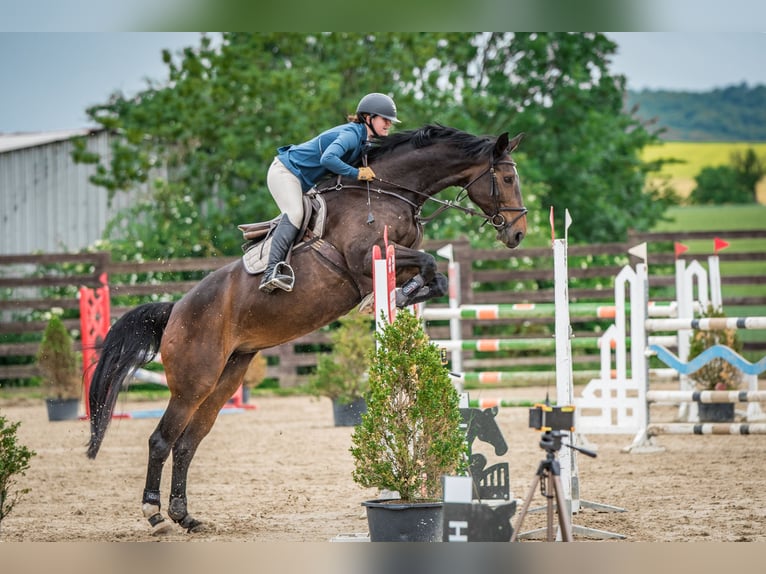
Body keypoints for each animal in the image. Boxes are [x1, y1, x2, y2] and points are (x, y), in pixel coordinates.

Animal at [86, 124, 528, 534]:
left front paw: (404, 296)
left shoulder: (395, 258)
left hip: (227, 376)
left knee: (188, 442)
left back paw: (186, 516)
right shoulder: (367, 257)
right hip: (193, 381)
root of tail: (176, 309)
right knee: (162, 439)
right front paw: (395, 297)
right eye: (507, 178)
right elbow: (430, 262)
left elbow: (434, 273)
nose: (517, 233)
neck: (387, 192)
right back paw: (155, 515)